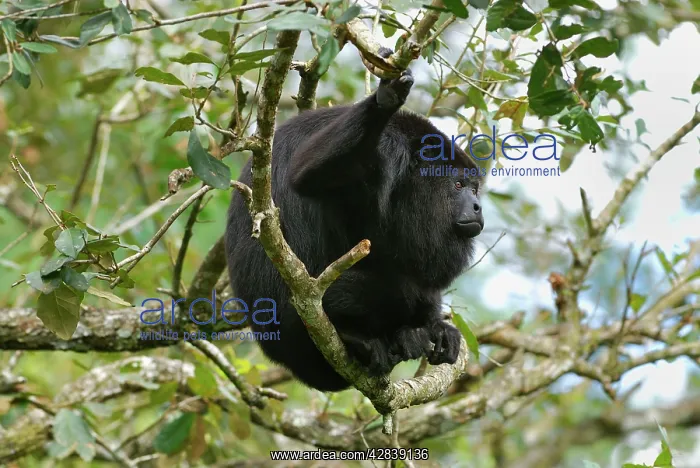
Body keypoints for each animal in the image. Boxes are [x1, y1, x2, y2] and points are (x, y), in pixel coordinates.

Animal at [225, 49, 484, 391]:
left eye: (474, 187)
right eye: (457, 185)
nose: (478, 206)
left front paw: (435, 327)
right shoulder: (389, 147)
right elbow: (306, 173)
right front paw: (386, 97)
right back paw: (361, 337)